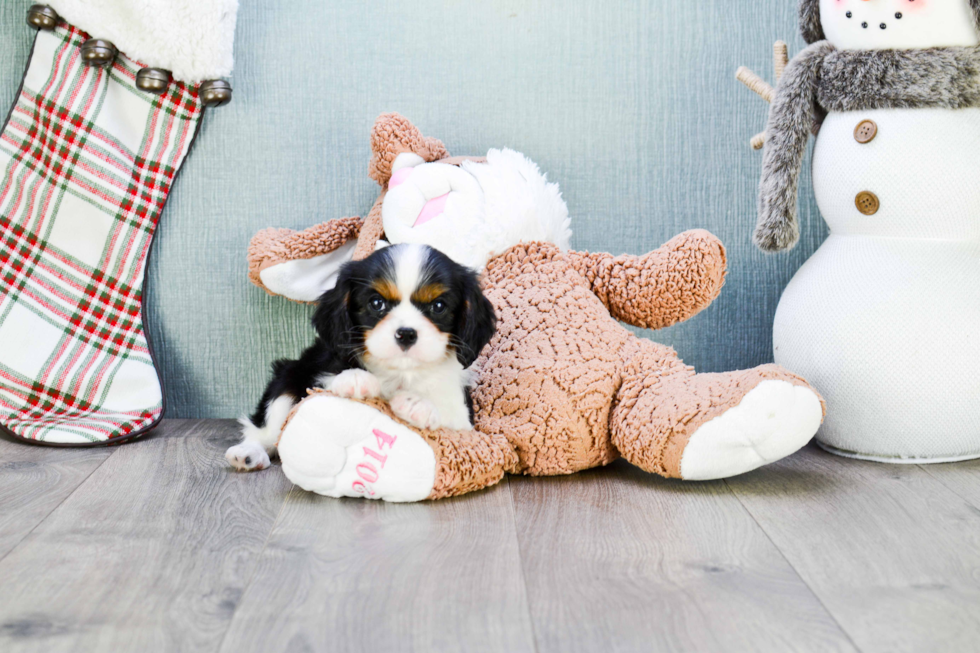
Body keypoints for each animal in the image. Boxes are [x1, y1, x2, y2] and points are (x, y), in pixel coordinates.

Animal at [228, 242, 498, 472]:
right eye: (376, 303)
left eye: (439, 306)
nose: (406, 333)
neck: (401, 373)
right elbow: (329, 379)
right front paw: (356, 378)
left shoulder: (464, 419)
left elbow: (449, 415)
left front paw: (417, 404)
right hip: (286, 378)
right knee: (265, 430)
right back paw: (249, 454)